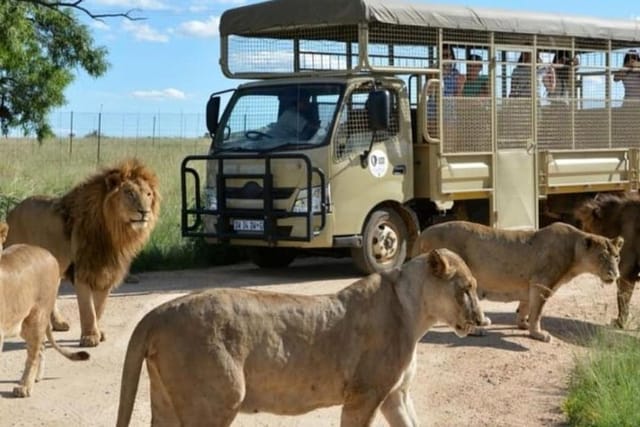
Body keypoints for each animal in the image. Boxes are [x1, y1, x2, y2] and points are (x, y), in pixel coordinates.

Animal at [0, 222, 89, 400]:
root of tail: (47, 253)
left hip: (37, 317)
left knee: (34, 353)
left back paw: (25, 386)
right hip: (25, 323)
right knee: (40, 348)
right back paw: (36, 379)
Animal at [5, 159, 160, 346]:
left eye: (148, 194)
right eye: (129, 193)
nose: (144, 212)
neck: (114, 232)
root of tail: (11, 212)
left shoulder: (107, 272)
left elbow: (99, 308)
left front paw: (98, 333)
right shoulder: (82, 271)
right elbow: (88, 308)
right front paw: (90, 337)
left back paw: (58, 323)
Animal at [116, 249, 484, 426]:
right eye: (466, 288)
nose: (482, 319)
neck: (415, 312)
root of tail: (157, 313)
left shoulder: (395, 395)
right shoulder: (364, 395)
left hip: (166, 401)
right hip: (217, 400)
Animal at [412, 222, 624, 342]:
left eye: (617, 256)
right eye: (602, 257)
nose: (615, 274)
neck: (574, 252)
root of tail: (423, 233)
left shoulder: (530, 285)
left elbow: (525, 306)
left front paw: (523, 324)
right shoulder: (542, 283)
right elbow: (537, 312)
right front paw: (538, 334)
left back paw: (484, 321)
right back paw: (477, 330)